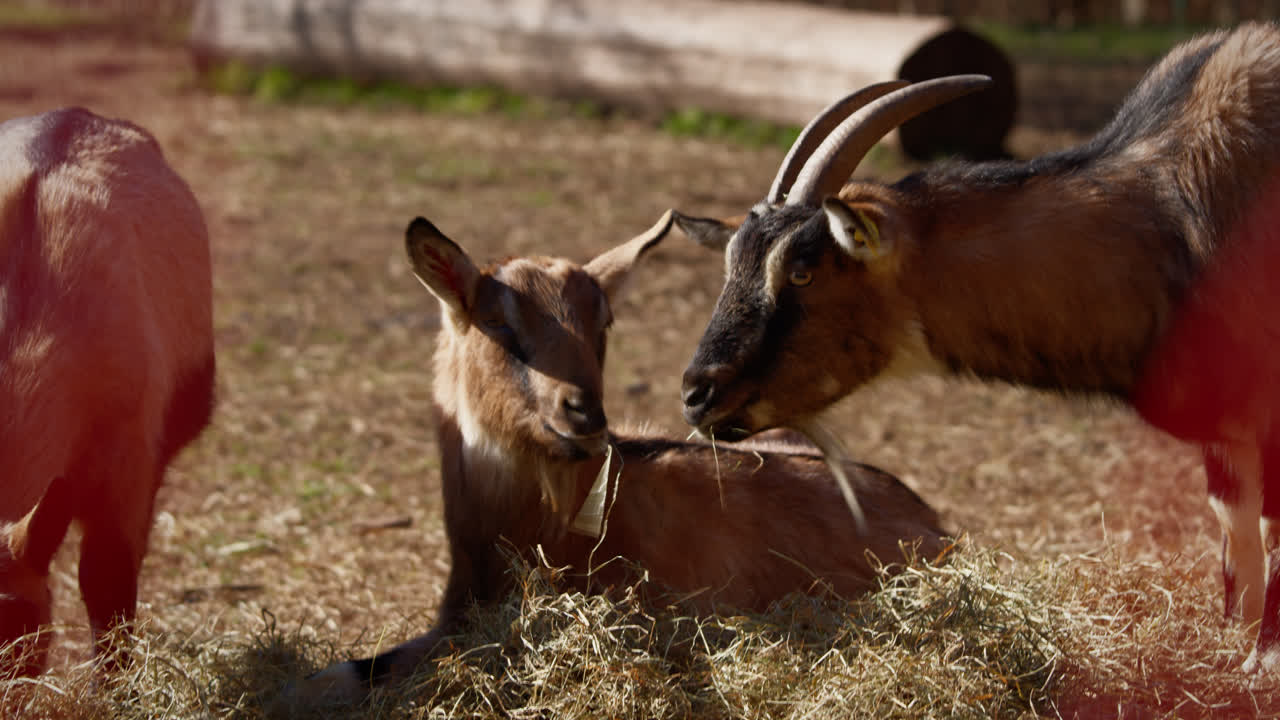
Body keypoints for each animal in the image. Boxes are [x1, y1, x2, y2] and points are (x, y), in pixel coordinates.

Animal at [675, 22, 1280, 673]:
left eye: (804, 272)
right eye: (733, 263)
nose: (697, 393)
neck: (1176, 211)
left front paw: (1263, 659)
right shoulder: (1227, 427)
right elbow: (1235, 526)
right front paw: (1231, 646)